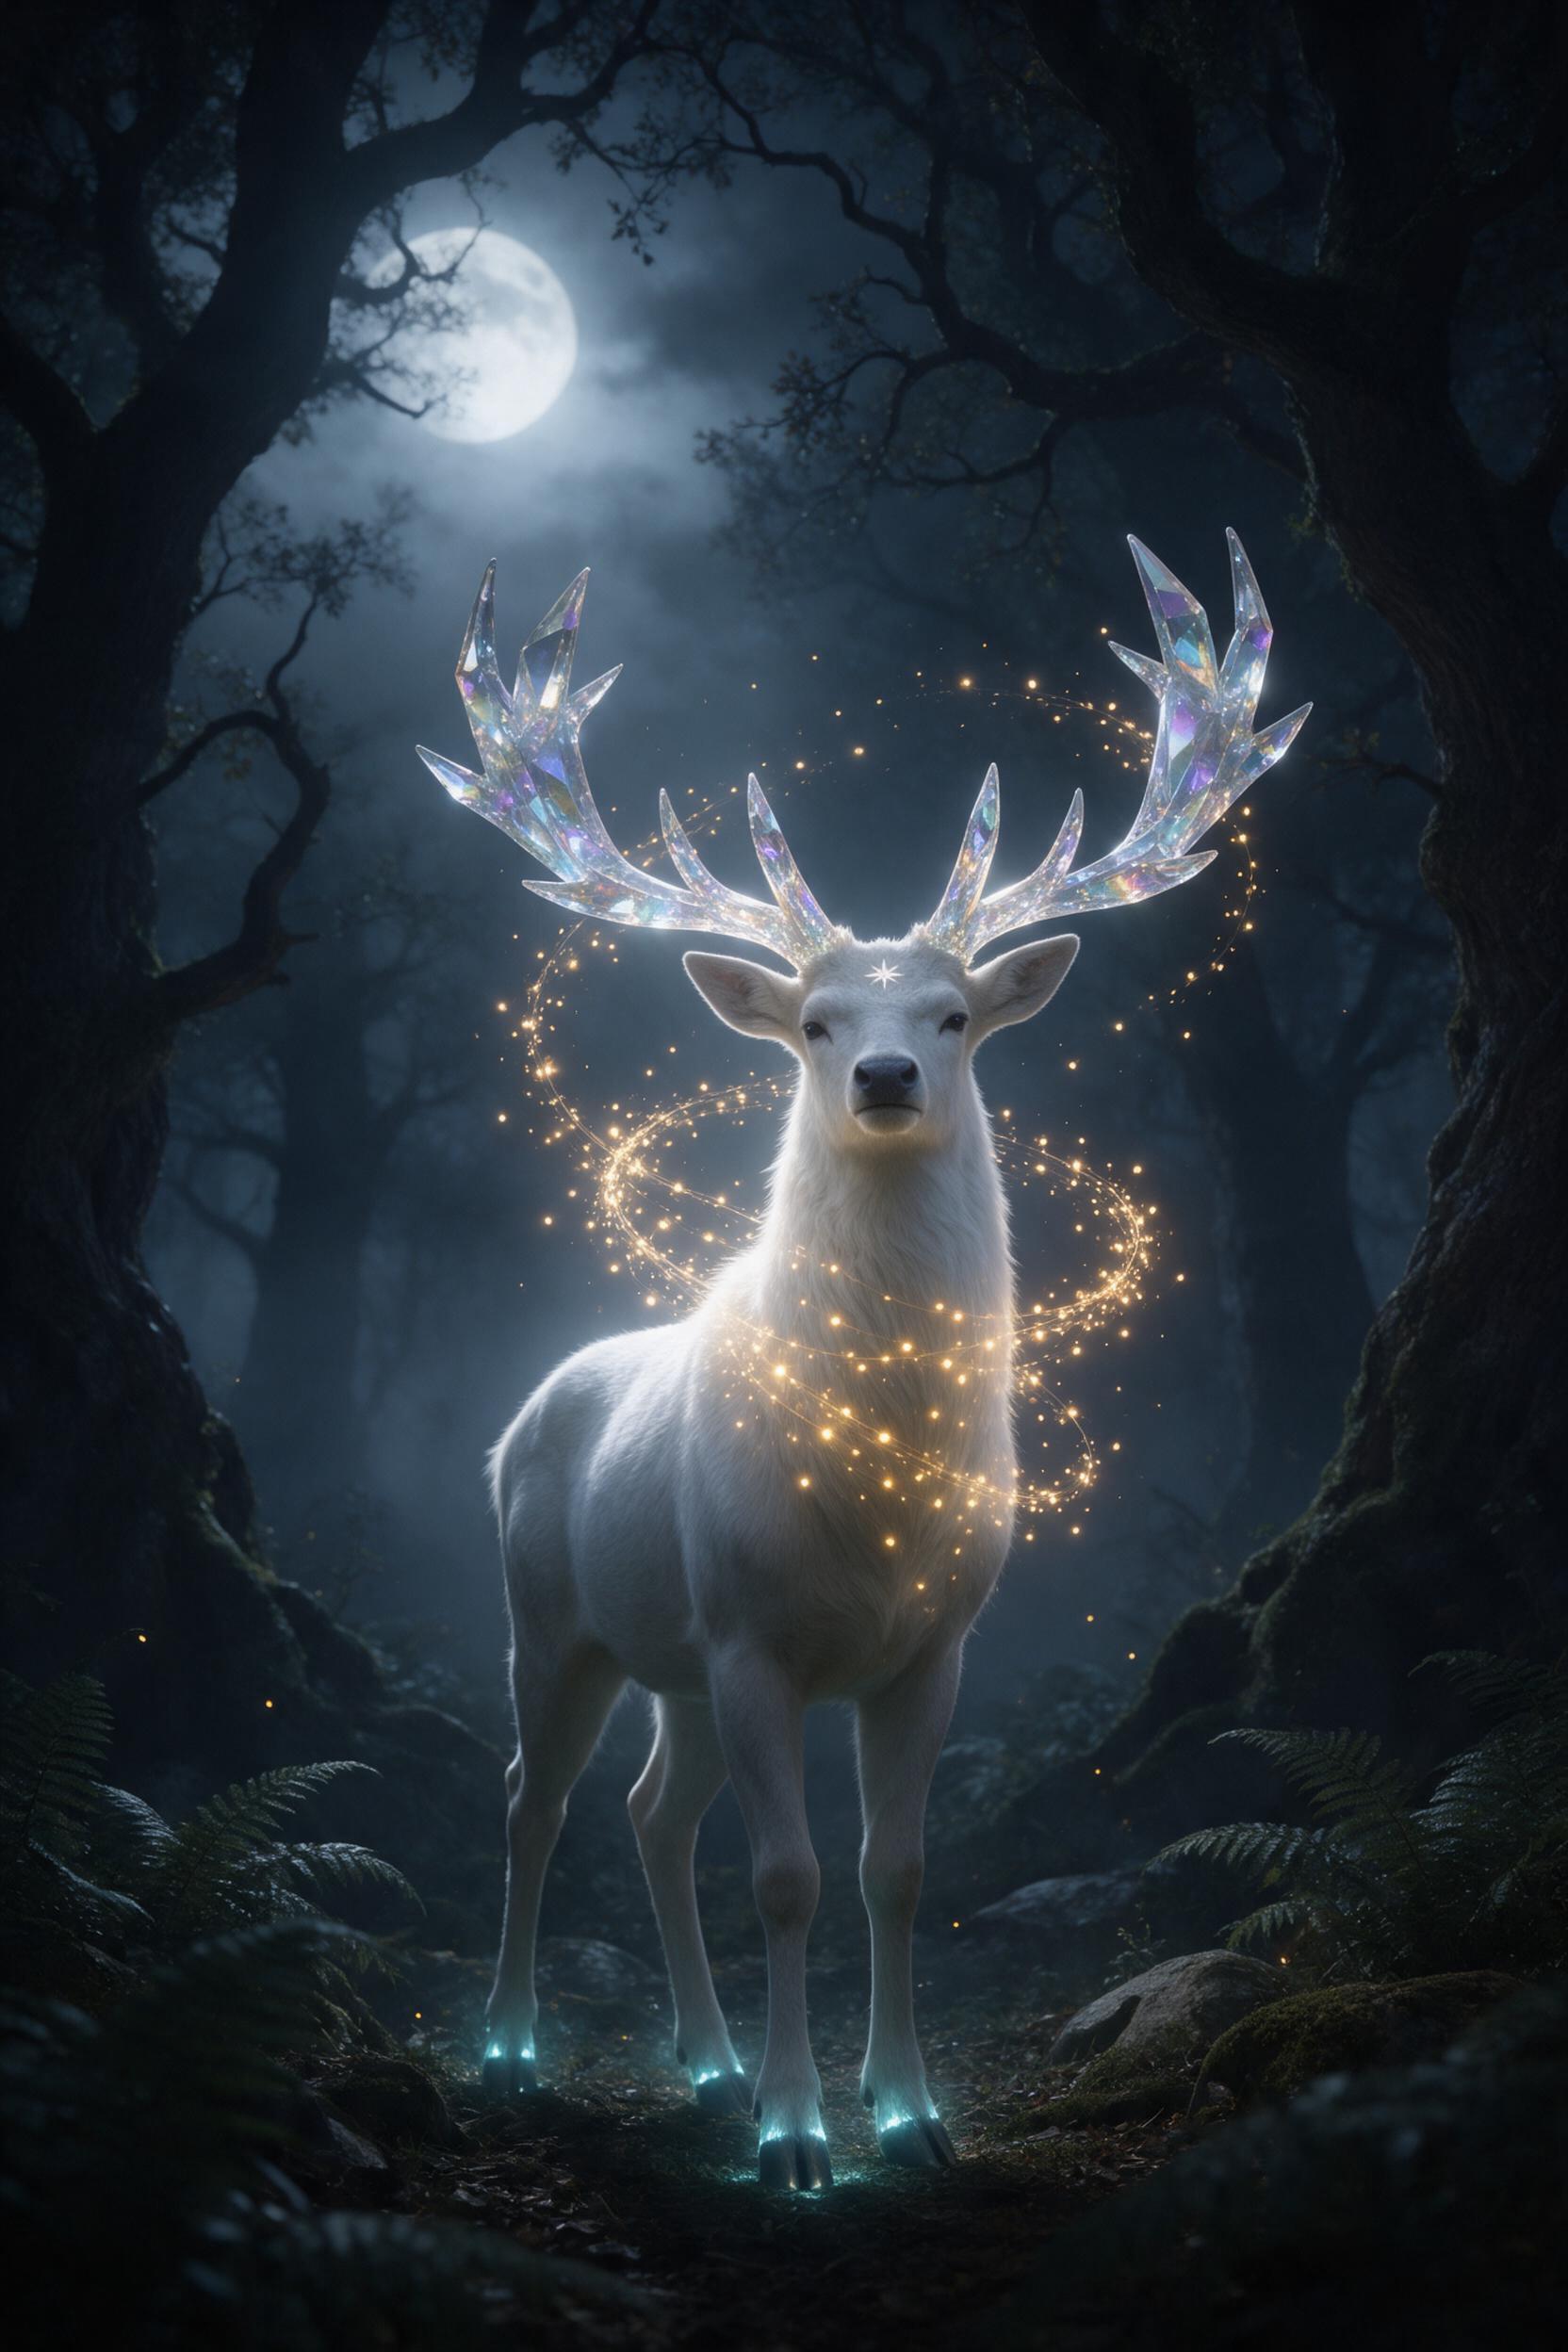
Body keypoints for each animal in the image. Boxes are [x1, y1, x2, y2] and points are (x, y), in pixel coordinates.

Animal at [417, 532, 1308, 2192]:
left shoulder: (935, 1645)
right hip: (551, 1617)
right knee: (530, 1800)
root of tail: (525, 1410)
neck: (878, 1483)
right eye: (818, 1022)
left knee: (649, 1811)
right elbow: (789, 1878)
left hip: (673, 1668)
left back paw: (698, 2055)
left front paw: (910, 2113)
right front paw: (794, 2139)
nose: (888, 1073)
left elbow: (895, 1869)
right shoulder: (754, 1633)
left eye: (953, 1015)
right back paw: (512, 2044)